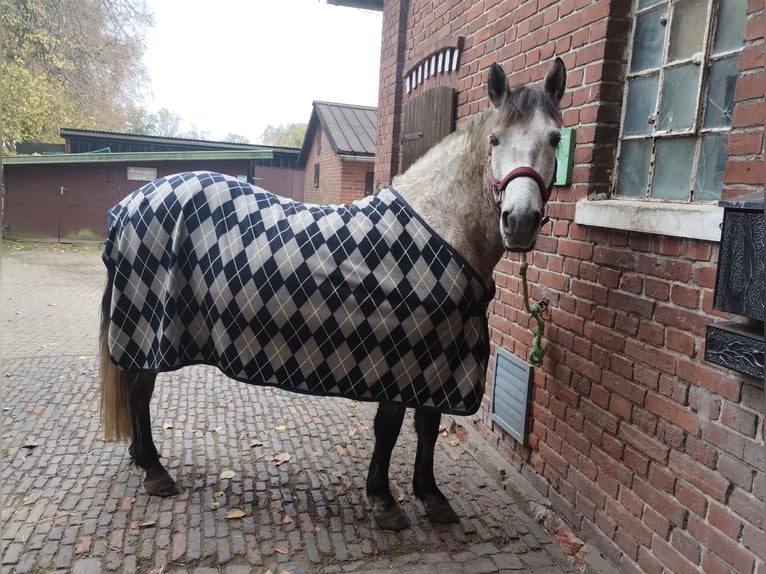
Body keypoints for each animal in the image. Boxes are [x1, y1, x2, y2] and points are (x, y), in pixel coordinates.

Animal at [99, 57, 568, 532]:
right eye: (495, 139)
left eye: (555, 138)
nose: (520, 221)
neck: (445, 226)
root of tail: (129, 204)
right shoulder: (402, 360)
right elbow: (390, 427)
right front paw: (384, 499)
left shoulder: (439, 363)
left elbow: (428, 425)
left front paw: (431, 496)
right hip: (149, 333)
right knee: (139, 390)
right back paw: (154, 470)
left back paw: (143, 459)